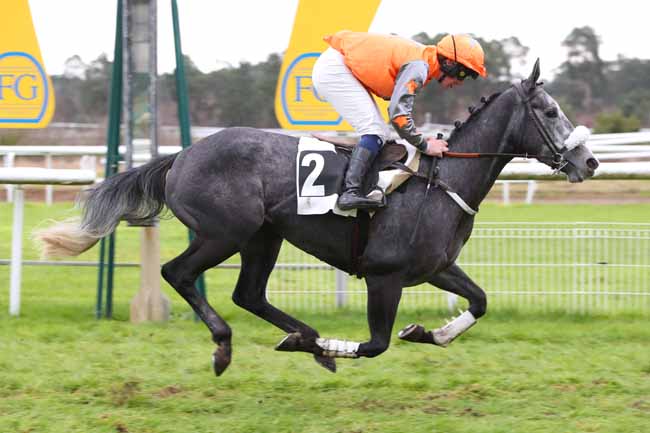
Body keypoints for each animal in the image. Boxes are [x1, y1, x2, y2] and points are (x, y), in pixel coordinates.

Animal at [37, 60, 599, 376]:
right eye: (551, 112)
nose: (589, 162)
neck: (441, 180)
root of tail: (181, 155)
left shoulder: (435, 267)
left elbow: (479, 302)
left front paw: (426, 332)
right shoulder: (385, 276)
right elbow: (374, 345)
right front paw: (342, 343)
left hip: (263, 237)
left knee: (249, 294)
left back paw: (304, 338)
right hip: (224, 232)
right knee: (178, 273)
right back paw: (229, 346)